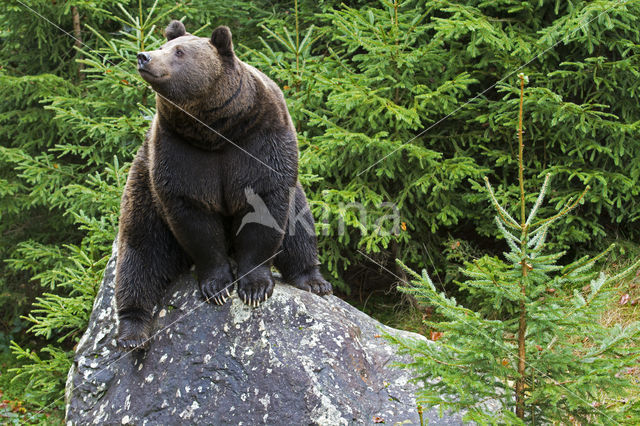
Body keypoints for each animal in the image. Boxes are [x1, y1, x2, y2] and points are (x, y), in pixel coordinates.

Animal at [115, 20, 332, 350]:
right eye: (163, 46)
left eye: (179, 51)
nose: (144, 56)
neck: (215, 130)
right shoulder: (179, 152)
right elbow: (194, 219)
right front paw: (217, 287)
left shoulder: (259, 143)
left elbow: (265, 208)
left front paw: (254, 287)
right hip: (142, 190)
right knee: (138, 255)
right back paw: (132, 332)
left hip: (297, 193)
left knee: (300, 229)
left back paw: (314, 280)